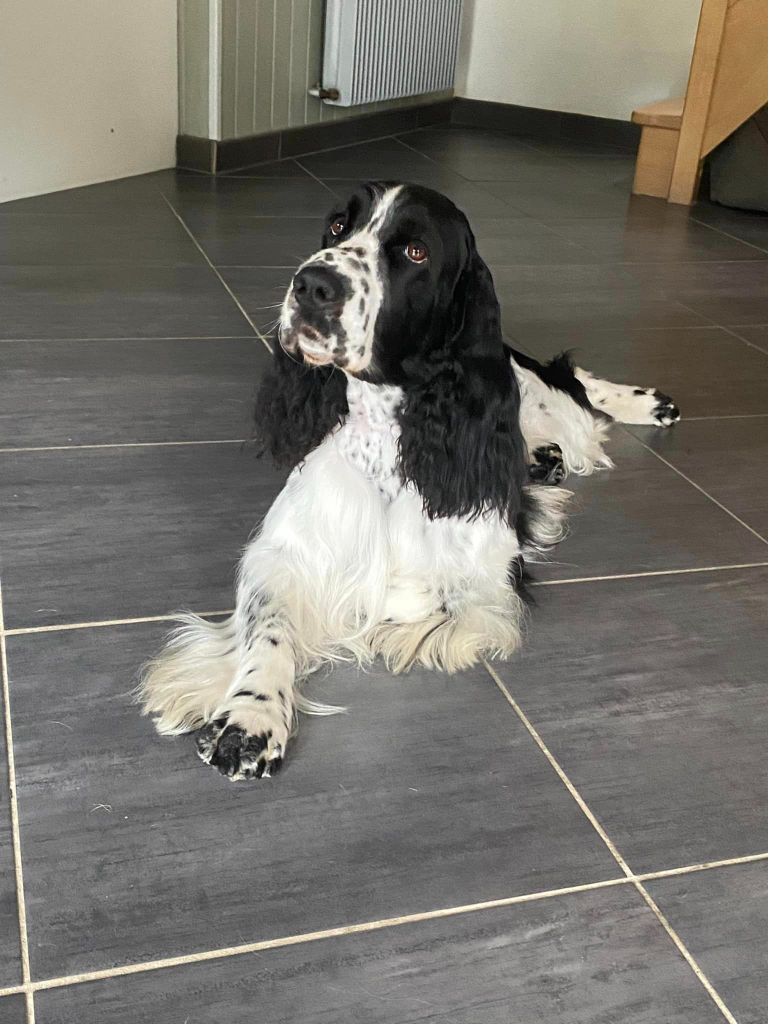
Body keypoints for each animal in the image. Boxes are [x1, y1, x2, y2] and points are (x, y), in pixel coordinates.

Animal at [139, 181, 680, 780]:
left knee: (571, 385)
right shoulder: (283, 550)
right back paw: (549, 453)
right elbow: (269, 623)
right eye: (338, 226)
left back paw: (647, 404)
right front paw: (248, 719)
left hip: (540, 393)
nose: (311, 283)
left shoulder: (480, 573)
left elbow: (406, 599)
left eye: (416, 252)